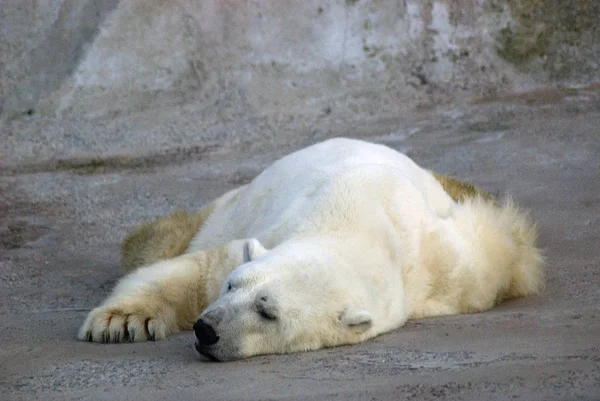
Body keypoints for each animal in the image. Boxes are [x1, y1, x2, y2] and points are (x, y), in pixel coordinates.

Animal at [78, 137, 544, 360]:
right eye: (232, 287)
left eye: (268, 312)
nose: (206, 328)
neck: (358, 222)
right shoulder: (263, 235)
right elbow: (195, 271)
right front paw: (122, 322)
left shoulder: (448, 268)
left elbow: (500, 252)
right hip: (233, 206)